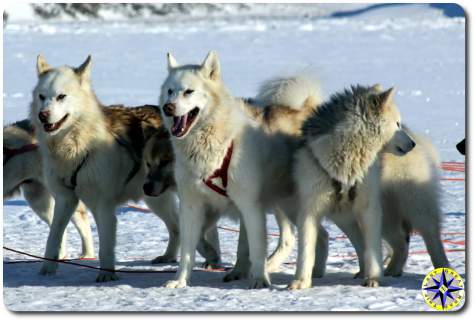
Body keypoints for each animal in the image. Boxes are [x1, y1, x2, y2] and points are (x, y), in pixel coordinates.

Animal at [30, 55, 182, 280]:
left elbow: (106, 246)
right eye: (42, 96)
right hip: (154, 197)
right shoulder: (65, 199)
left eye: (61, 96)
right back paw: (169, 256)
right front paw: (47, 269)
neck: (76, 147)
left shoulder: (103, 206)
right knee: (176, 226)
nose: (43, 114)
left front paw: (107, 275)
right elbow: (54, 237)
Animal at [159, 52, 328, 288]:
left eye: (188, 91)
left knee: (314, 235)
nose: (168, 107)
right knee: (314, 236)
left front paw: (259, 280)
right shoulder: (192, 206)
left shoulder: (250, 206)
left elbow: (256, 249)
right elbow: (187, 252)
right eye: (170, 91)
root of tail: (305, 108)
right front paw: (180, 281)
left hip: (291, 205)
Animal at [286, 83, 416, 288]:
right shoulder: (310, 207)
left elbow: (373, 247)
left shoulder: (369, 208)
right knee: (361, 242)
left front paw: (373, 278)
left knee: (389, 242)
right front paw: (301, 281)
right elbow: (306, 247)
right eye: (397, 124)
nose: (412, 143)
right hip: (344, 217)